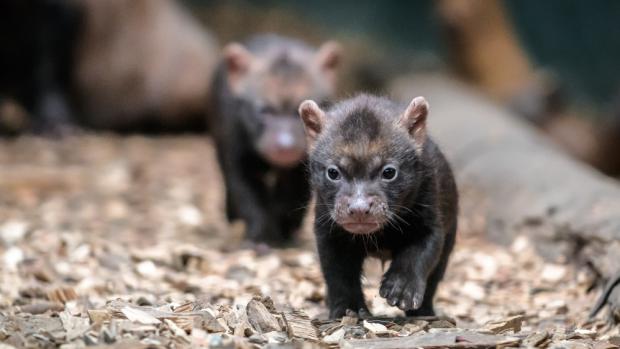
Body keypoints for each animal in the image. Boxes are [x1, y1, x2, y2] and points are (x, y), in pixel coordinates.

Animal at [298, 94, 458, 316]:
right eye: (333, 172)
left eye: (389, 172)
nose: (359, 209)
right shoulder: (328, 233)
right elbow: (339, 274)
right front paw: (349, 309)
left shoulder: (431, 224)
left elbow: (418, 254)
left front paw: (401, 289)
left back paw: (424, 312)